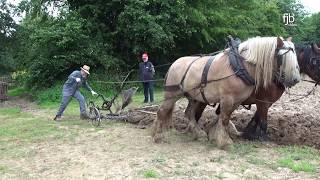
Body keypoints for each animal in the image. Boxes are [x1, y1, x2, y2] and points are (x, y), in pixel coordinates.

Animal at [152, 37, 300, 149]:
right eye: (282, 57)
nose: (295, 79)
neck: (240, 66)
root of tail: (174, 64)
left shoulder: (237, 101)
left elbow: (225, 118)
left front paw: (218, 136)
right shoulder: (228, 99)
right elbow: (224, 119)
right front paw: (225, 142)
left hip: (194, 97)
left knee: (189, 113)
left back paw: (199, 134)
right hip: (172, 95)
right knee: (162, 111)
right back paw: (158, 136)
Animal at [190, 40, 320, 141]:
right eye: (315, 60)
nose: (295, 79)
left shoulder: (265, 103)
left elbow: (256, 118)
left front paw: (249, 133)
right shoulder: (263, 101)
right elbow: (263, 121)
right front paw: (261, 137)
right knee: (196, 114)